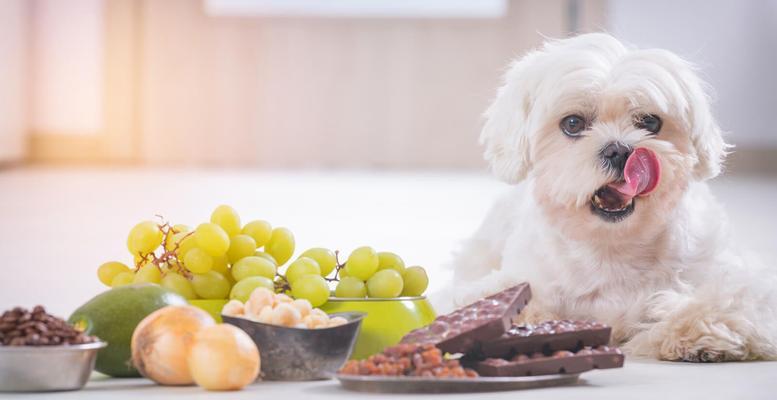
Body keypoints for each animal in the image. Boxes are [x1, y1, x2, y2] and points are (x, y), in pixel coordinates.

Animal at [436, 32, 776, 360]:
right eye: (573, 123)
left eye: (650, 122)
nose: (619, 150)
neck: (611, 247)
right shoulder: (519, 278)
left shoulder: (735, 280)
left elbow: (726, 301)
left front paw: (695, 331)